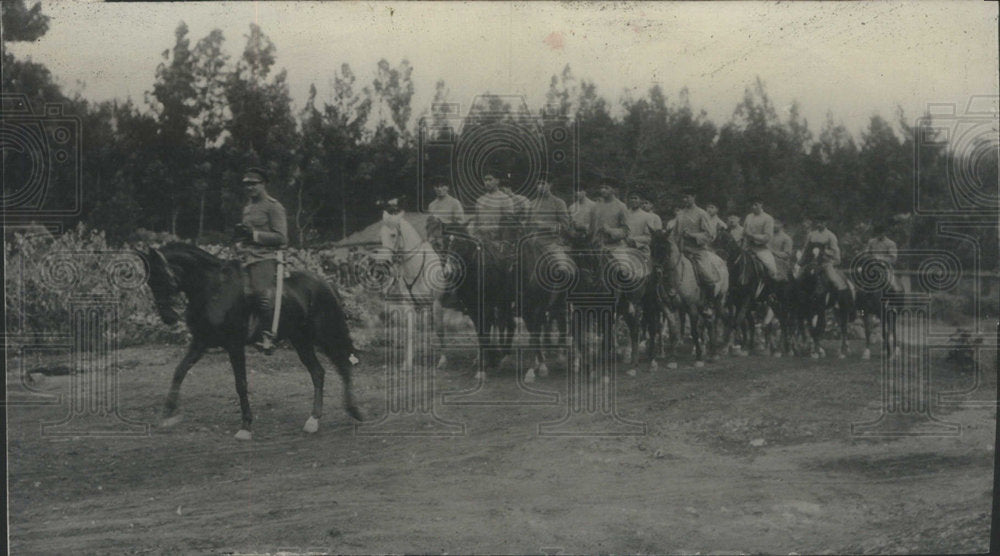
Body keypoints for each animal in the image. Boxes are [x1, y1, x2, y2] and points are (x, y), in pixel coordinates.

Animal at [141, 241, 360, 440]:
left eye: (160, 277)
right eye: (150, 282)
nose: (168, 318)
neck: (213, 289)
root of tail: (326, 284)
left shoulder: (234, 345)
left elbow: (241, 384)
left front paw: (246, 425)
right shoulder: (201, 341)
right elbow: (179, 371)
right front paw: (167, 414)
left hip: (326, 334)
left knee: (343, 366)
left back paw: (353, 411)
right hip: (301, 340)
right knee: (318, 372)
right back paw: (313, 420)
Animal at [376, 211, 450, 372]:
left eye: (393, 235)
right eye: (381, 235)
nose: (383, 264)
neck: (416, 267)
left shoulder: (435, 303)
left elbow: (439, 329)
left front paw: (442, 360)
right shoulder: (409, 304)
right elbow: (411, 331)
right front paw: (408, 362)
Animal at [648, 228, 728, 368]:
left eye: (664, 247)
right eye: (651, 246)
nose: (656, 272)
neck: (675, 277)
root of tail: (720, 260)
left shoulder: (692, 308)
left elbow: (694, 331)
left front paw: (699, 357)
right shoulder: (667, 308)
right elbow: (673, 332)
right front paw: (672, 359)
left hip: (719, 300)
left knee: (716, 321)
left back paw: (717, 351)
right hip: (703, 306)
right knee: (709, 322)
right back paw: (712, 353)